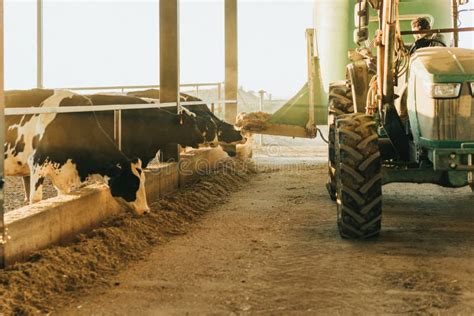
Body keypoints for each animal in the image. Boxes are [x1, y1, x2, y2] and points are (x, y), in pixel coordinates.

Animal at [4, 89, 149, 215]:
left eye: (143, 180)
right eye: (132, 183)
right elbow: (36, 200)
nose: (146, 210)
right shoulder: (37, 164)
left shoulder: (62, 174)